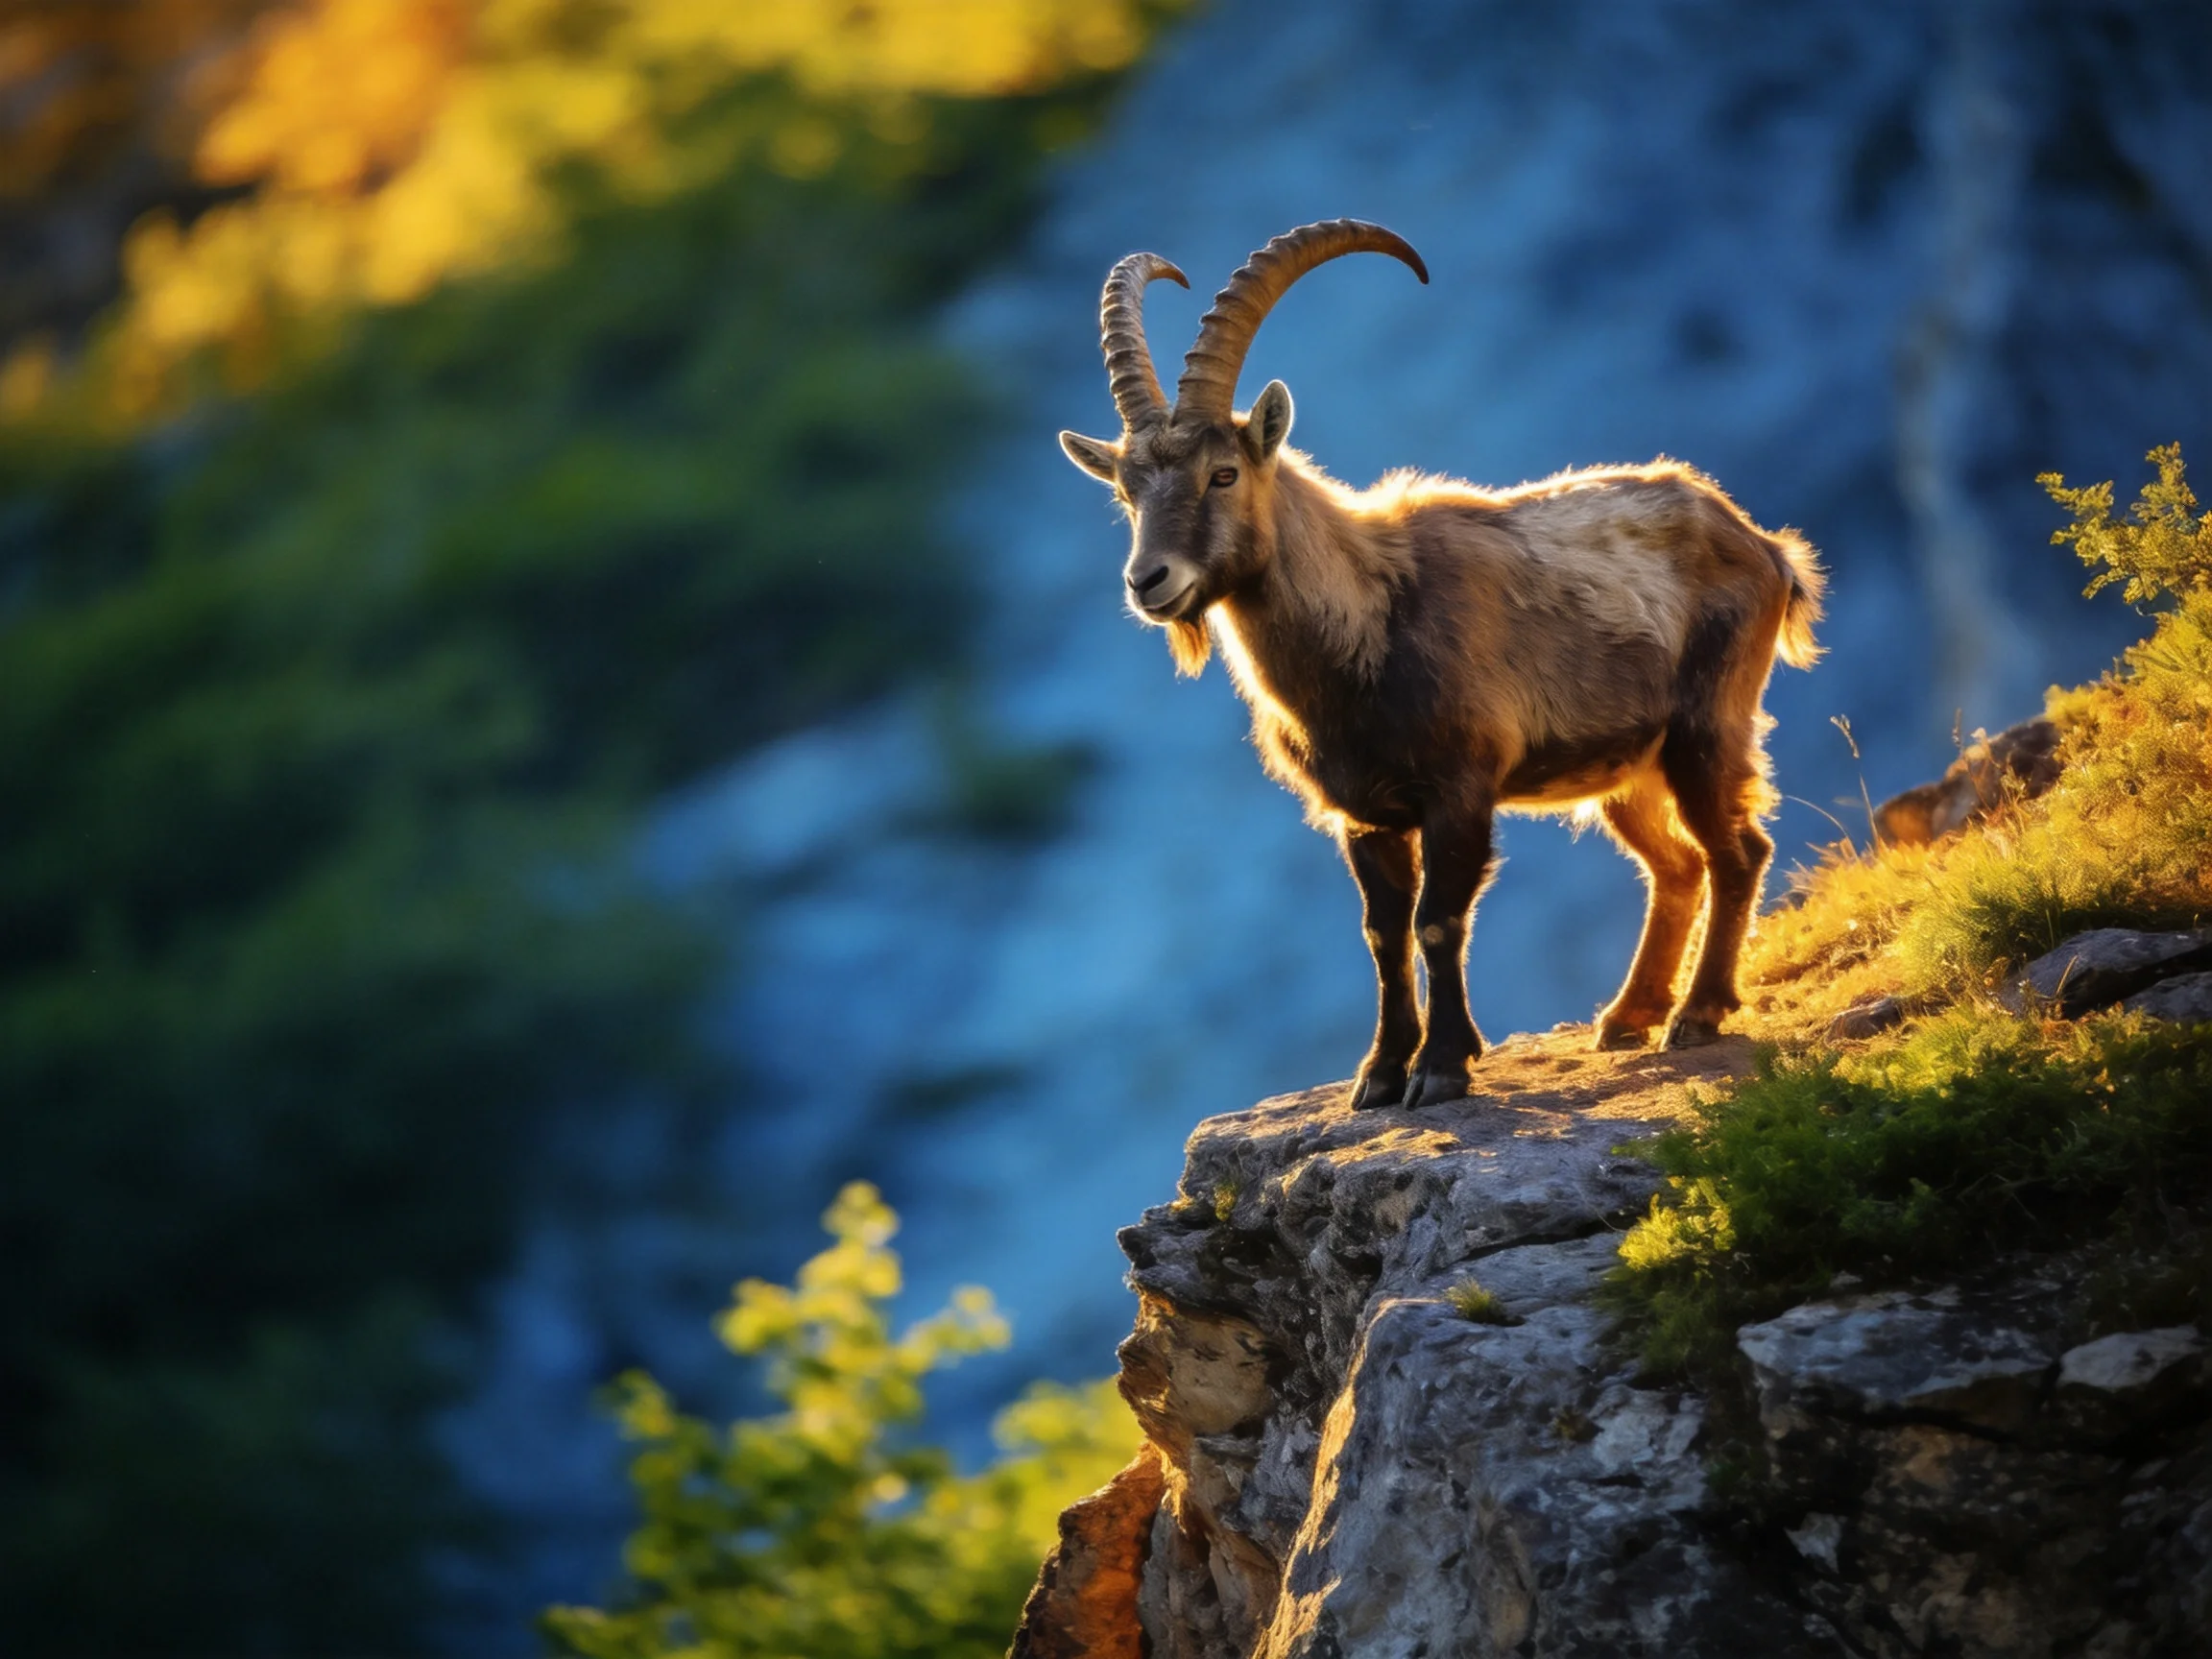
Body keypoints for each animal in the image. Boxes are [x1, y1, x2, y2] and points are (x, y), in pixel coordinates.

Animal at [1059, 219, 1824, 1110]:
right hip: (1628, 771)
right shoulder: (1364, 814)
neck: (1365, 625)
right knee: (1675, 866)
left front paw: (1443, 1068)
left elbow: (1438, 920)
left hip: (1707, 729)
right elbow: (1382, 934)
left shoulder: (1459, 789)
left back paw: (1696, 1014)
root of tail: (1762, 545)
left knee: (1737, 853)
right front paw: (1380, 1072)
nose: (1148, 581)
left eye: (1223, 473)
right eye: (1126, 493)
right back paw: (1627, 1016)